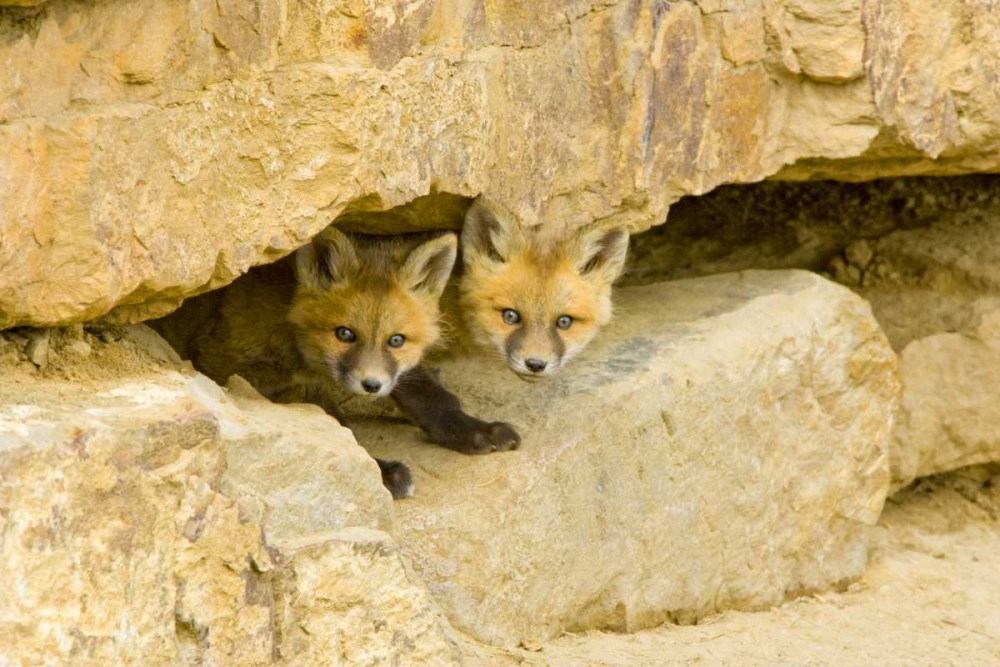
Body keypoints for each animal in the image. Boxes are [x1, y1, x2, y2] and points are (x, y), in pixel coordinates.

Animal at [152, 227, 520, 499]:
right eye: (345, 334)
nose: (371, 386)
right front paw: (380, 471)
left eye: (396, 340)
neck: (288, 322)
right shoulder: (231, 363)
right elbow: (337, 423)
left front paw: (473, 429)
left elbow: (432, 395)